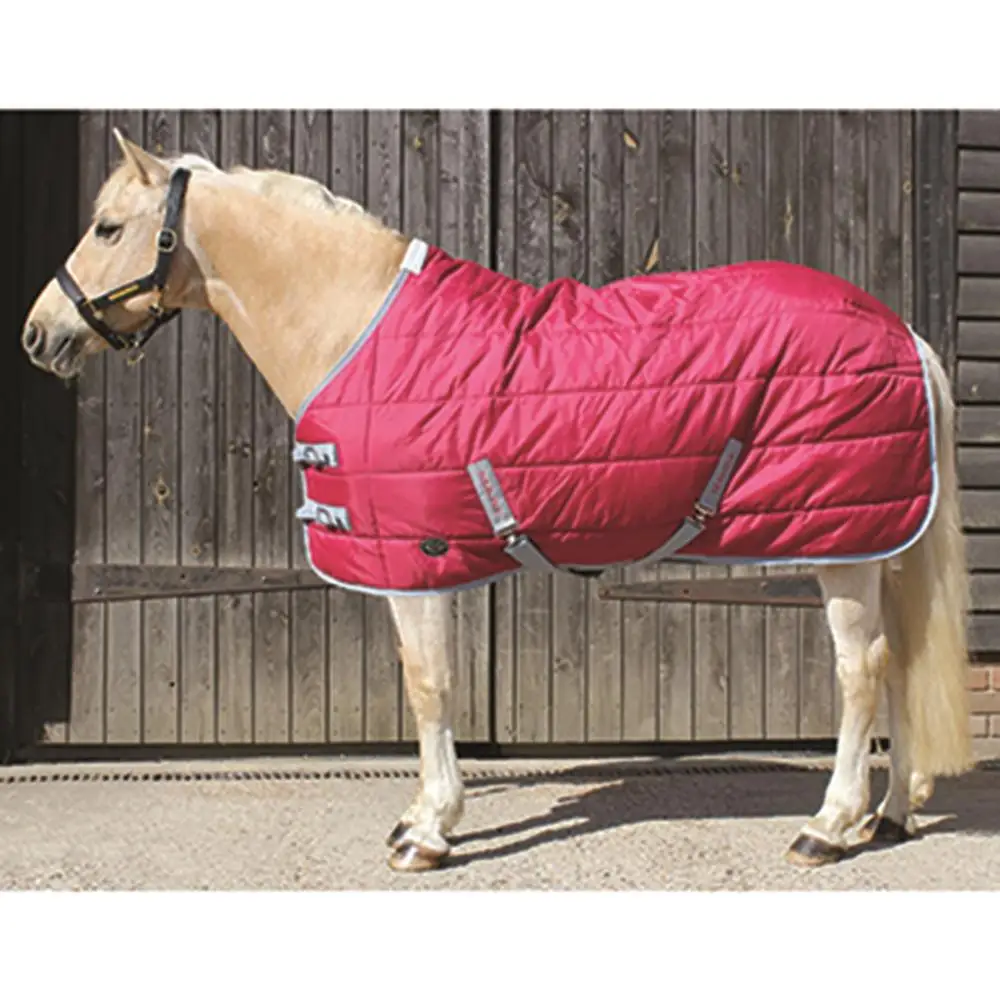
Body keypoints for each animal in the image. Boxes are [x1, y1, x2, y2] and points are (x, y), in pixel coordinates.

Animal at [21, 129, 973, 873]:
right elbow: (429, 686)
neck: (360, 329)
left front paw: (430, 831)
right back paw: (890, 813)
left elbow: (429, 685)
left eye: (108, 227)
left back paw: (829, 826)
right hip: (875, 544)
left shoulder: (417, 562)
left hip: (840, 546)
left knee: (862, 670)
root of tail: (899, 331)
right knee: (896, 664)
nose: (38, 334)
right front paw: (421, 816)